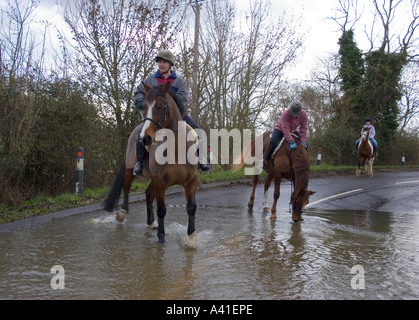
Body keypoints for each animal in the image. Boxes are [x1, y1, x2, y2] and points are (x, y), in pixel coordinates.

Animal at [102, 82, 199, 245]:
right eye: (145, 106)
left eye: (160, 106)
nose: (145, 138)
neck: (176, 149)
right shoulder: (160, 182)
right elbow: (161, 210)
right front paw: (161, 236)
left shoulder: (191, 181)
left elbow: (191, 207)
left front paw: (191, 237)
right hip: (131, 170)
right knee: (127, 187)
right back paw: (122, 212)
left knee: (148, 194)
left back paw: (151, 222)